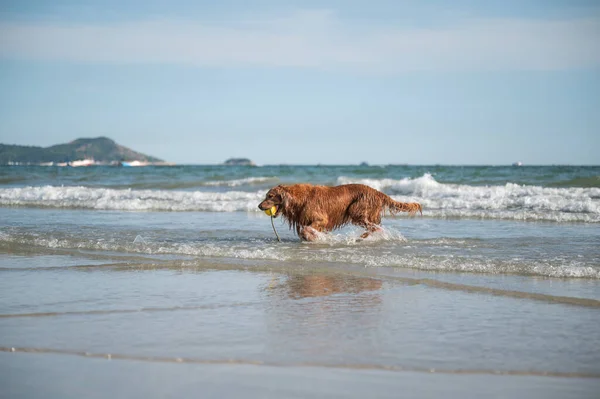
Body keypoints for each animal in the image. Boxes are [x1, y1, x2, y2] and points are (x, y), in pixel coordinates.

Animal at [258, 184, 422, 241]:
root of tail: (377, 192)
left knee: (374, 227)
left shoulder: (321, 219)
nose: (259, 206)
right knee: (375, 227)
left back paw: (360, 238)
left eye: (270, 196)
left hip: (356, 210)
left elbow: (307, 230)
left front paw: (314, 237)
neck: (299, 199)